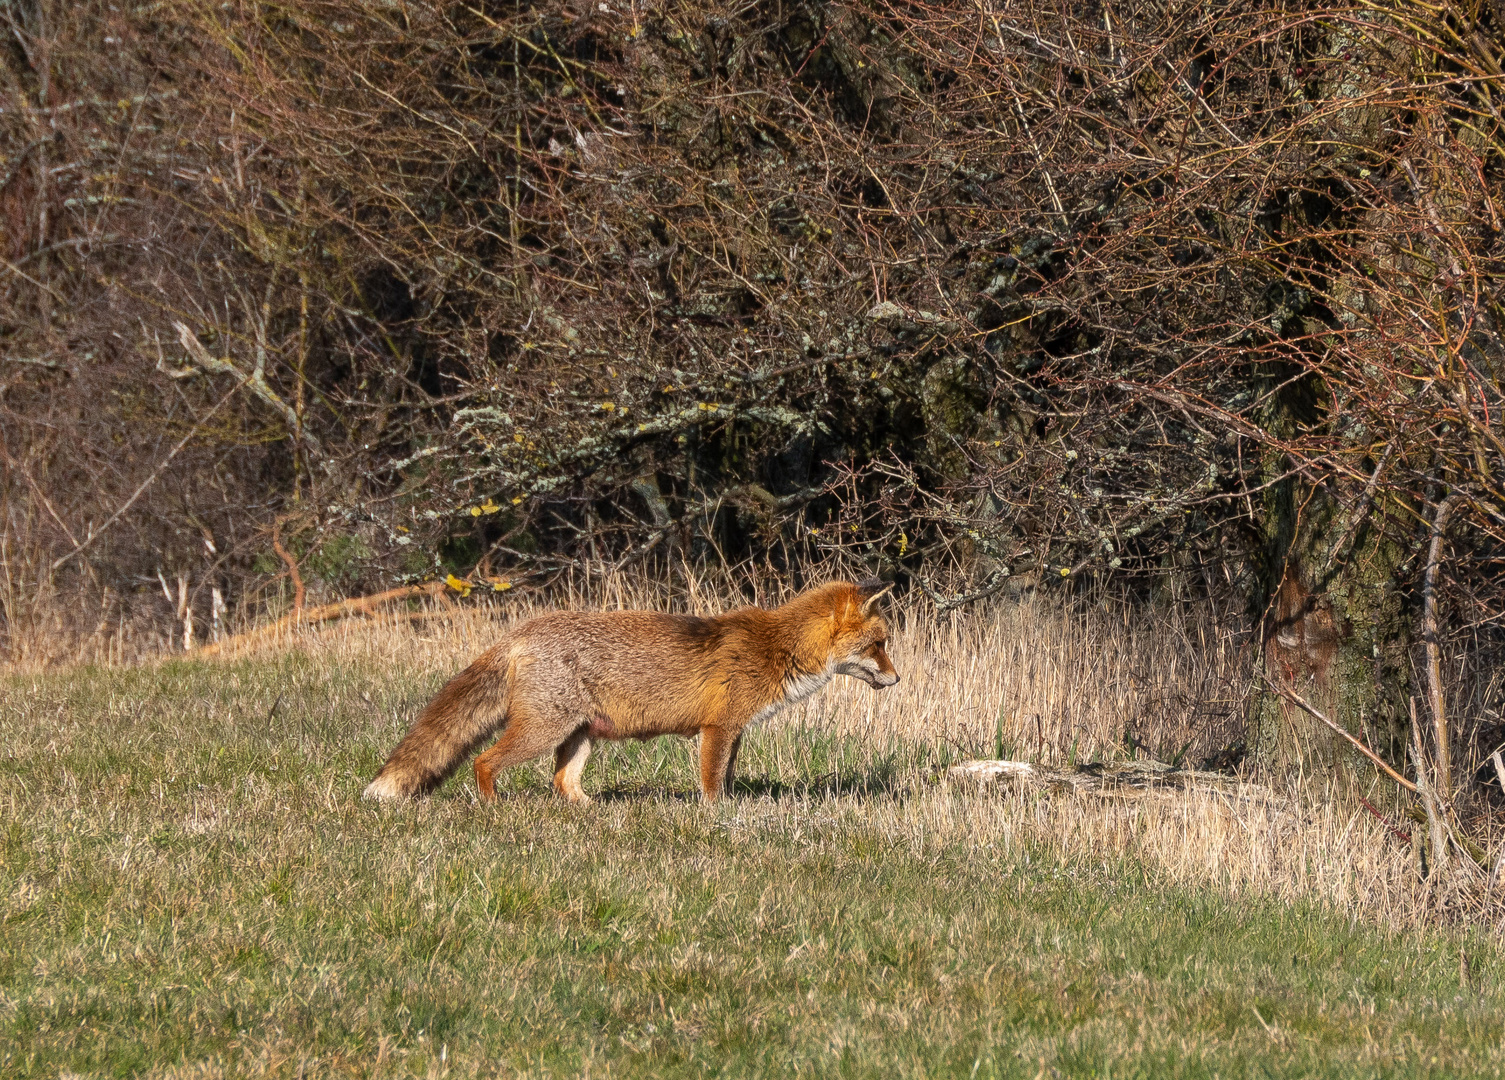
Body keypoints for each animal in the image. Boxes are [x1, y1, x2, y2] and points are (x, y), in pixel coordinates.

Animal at [365, 583, 896, 806]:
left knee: (562, 783)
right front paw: (716, 819)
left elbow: (726, 778)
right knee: (484, 761)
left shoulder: (734, 731)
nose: (896, 680)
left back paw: (592, 811)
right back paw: (495, 809)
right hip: (543, 731)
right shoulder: (718, 728)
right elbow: (712, 784)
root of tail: (520, 632)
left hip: (579, 737)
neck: (776, 647)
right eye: (879, 645)